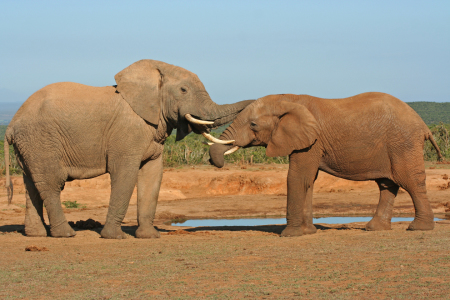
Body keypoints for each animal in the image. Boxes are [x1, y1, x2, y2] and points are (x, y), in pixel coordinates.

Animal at [209, 92, 442, 236]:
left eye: (253, 124)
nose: (214, 161)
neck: (288, 99)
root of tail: (424, 125)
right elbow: (308, 180)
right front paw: (307, 233)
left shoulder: (311, 141)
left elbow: (297, 177)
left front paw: (290, 235)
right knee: (387, 184)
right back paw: (374, 229)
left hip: (403, 143)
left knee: (409, 181)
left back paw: (419, 228)